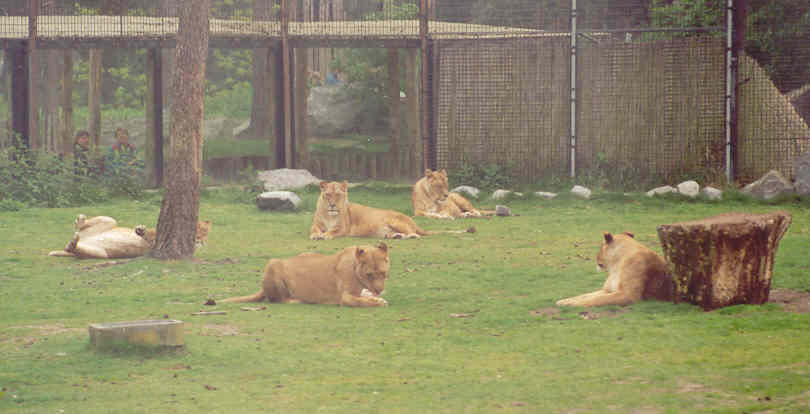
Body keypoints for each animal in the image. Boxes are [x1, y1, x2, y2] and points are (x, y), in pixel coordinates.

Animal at [49, 213, 210, 258]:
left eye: (203, 232)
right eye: (196, 230)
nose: (199, 239)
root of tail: (84, 239)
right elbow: (148, 232)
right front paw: (140, 229)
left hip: (100, 253)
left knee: (74, 248)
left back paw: (72, 243)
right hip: (110, 220)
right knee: (80, 225)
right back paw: (80, 219)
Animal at [218, 243, 388, 308]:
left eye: (383, 273)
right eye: (369, 274)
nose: (379, 290)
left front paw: (377, 297)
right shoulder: (344, 297)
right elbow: (359, 301)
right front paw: (379, 302)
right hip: (273, 264)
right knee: (279, 299)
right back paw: (297, 300)